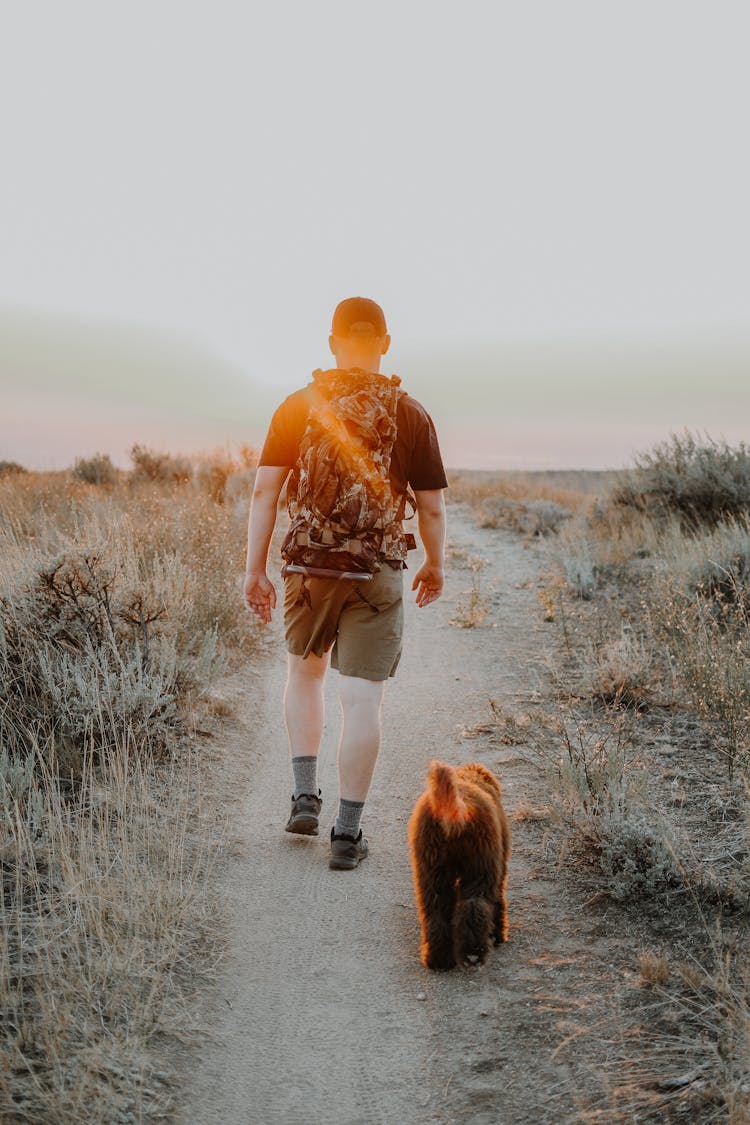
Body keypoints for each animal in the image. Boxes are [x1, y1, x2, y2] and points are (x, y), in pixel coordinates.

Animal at [411, 760, 510, 972]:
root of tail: (458, 807)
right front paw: (498, 934)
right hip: (481, 866)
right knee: (475, 906)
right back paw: (474, 954)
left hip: (432, 870)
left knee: (437, 910)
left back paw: (438, 960)